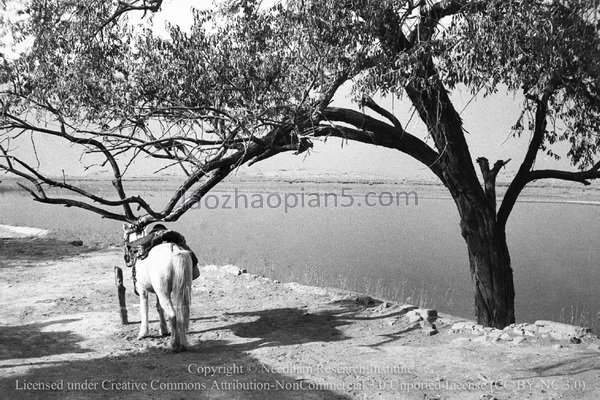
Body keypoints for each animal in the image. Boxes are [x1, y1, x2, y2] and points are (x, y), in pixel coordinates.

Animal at [123, 225, 193, 354]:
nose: (127, 259)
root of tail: (174, 250)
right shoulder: (157, 292)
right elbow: (159, 307)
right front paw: (163, 330)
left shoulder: (142, 289)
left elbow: (144, 308)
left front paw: (143, 333)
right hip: (181, 288)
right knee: (182, 313)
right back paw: (183, 344)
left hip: (163, 292)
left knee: (172, 314)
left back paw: (174, 345)